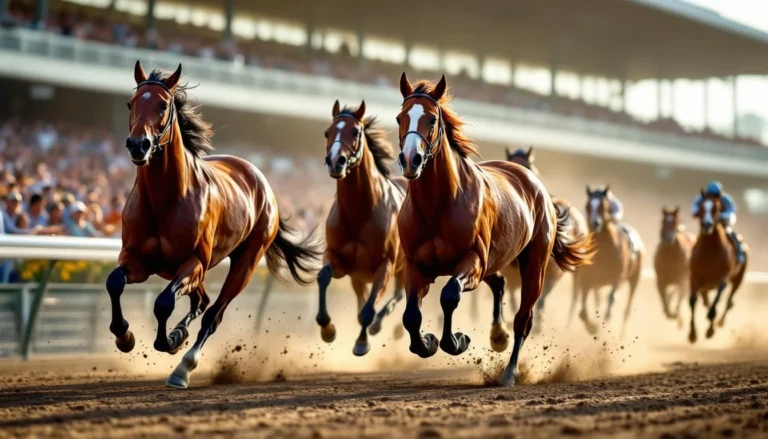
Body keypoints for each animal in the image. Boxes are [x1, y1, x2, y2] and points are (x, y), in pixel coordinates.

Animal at [107, 61, 320, 388]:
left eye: (163, 105)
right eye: (131, 103)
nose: (138, 145)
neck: (163, 200)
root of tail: (261, 179)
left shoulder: (194, 262)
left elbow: (163, 303)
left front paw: (169, 342)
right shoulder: (137, 258)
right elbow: (114, 282)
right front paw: (125, 336)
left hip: (246, 261)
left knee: (213, 314)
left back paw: (183, 366)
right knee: (202, 301)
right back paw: (179, 334)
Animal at [316, 100, 407, 356]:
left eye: (355, 131)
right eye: (327, 131)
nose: (336, 161)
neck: (360, 213)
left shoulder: (385, 265)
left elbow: (368, 310)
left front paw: (361, 342)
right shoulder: (340, 261)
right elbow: (323, 277)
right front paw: (327, 329)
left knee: (399, 294)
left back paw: (379, 326)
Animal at [578, 186, 643, 334]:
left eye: (603, 206)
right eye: (588, 205)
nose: (595, 223)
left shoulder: (617, 278)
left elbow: (611, 300)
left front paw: (603, 325)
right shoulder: (586, 280)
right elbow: (582, 312)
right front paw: (593, 328)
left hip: (634, 280)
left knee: (627, 309)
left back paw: (621, 334)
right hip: (597, 284)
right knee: (598, 300)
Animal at [688, 191, 748, 343]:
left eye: (716, 208)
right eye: (701, 207)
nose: (707, 224)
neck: (710, 251)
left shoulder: (723, 279)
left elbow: (714, 306)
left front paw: (710, 330)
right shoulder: (694, 277)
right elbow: (692, 302)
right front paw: (692, 334)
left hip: (738, 279)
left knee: (728, 300)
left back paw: (719, 322)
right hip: (705, 286)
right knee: (707, 301)